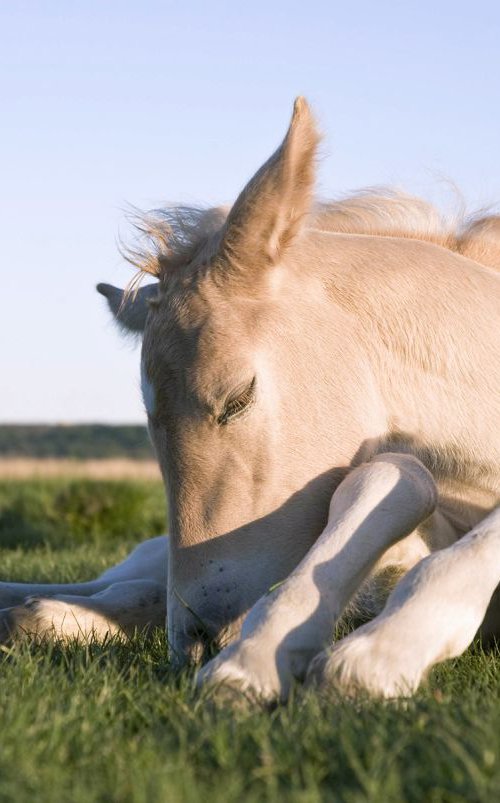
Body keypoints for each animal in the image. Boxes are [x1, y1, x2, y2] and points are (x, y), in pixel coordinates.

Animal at [0, 100, 498, 700]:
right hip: (149, 556)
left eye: (239, 398)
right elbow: (387, 482)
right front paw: (263, 656)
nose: (197, 637)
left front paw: (377, 654)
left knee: (135, 592)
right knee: (121, 583)